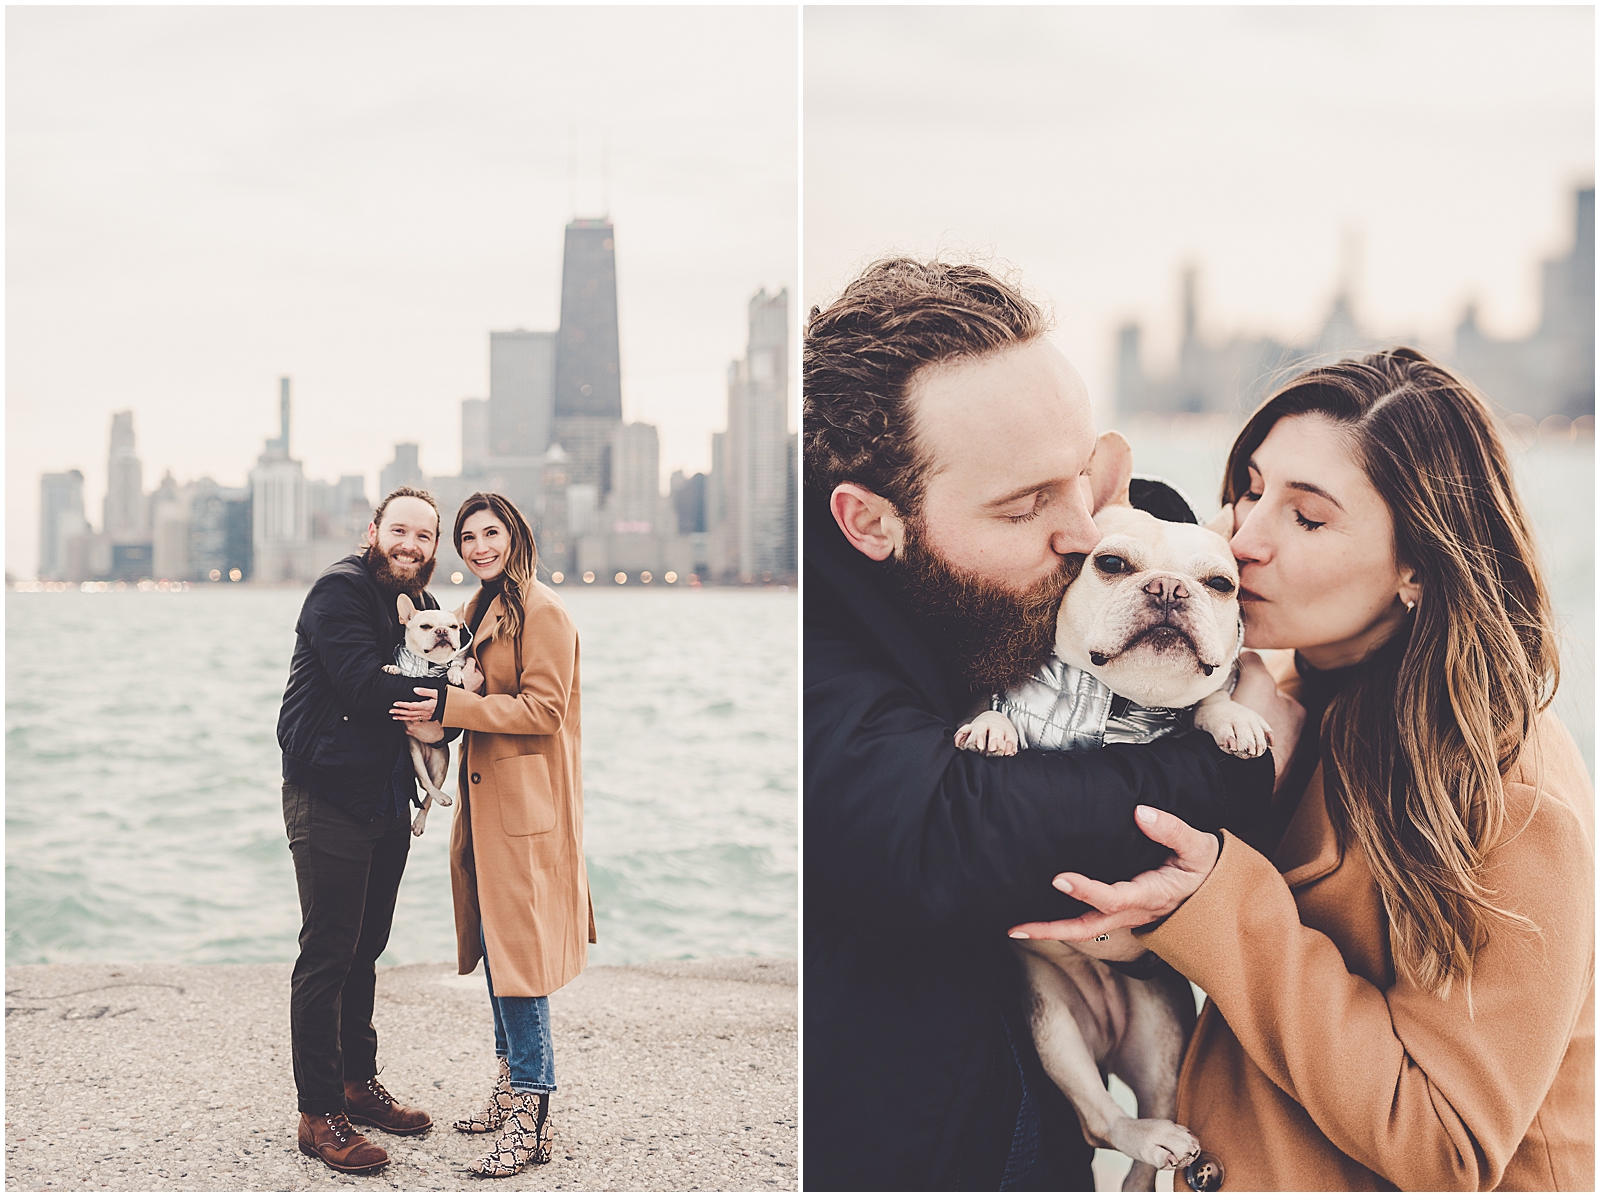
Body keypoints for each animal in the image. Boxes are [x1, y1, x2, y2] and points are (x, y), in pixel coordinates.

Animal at [276, 483, 595, 1177]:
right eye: (425, 624)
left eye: (451, 623)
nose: (450, 631)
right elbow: (395, 678)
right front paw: (414, 673)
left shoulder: (452, 685)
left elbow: (464, 679)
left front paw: (459, 675)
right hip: (417, 758)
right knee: (420, 789)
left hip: (440, 756)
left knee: (433, 788)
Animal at [806, 259, 1593, 1190]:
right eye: (1109, 562)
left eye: (1220, 583)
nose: (1169, 592)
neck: (1117, 701)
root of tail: (1110, 1025)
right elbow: (993, 703)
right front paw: (992, 731)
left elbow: (1215, 696)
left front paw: (1238, 726)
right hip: (1053, 1023)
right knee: (1101, 1112)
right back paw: (1147, 1137)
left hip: (1161, 1026)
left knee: (1144, 1110)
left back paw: (1166, 1142)